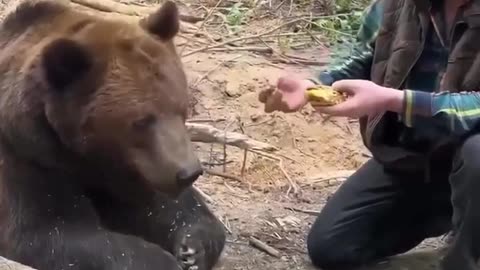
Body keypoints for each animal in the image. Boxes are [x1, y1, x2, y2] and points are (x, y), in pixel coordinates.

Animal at [0, 0, 226, 270]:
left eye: (183, 109)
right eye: (141, 121)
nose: (188, 173)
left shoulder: (131, 170)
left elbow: (167, 206)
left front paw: (192, 248)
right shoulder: (29, 157)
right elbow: (51, 228)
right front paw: (163, 260)